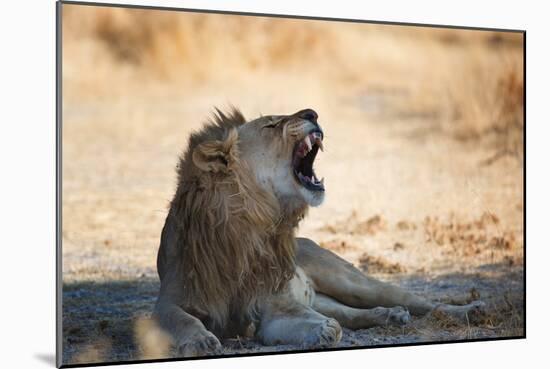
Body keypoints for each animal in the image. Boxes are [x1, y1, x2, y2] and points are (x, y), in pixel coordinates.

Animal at [153, 108, 486, 356]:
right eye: (271, 124)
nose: (312, 112)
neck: (249, 228)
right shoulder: (169, 301)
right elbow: (180, 318)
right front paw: (200, 339)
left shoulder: (275, 305)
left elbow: (303, 321)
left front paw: (322, 329)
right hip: (325, 296)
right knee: (350, 314)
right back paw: (390, 315)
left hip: (353, 281)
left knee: (422, 302)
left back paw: (470, 311)